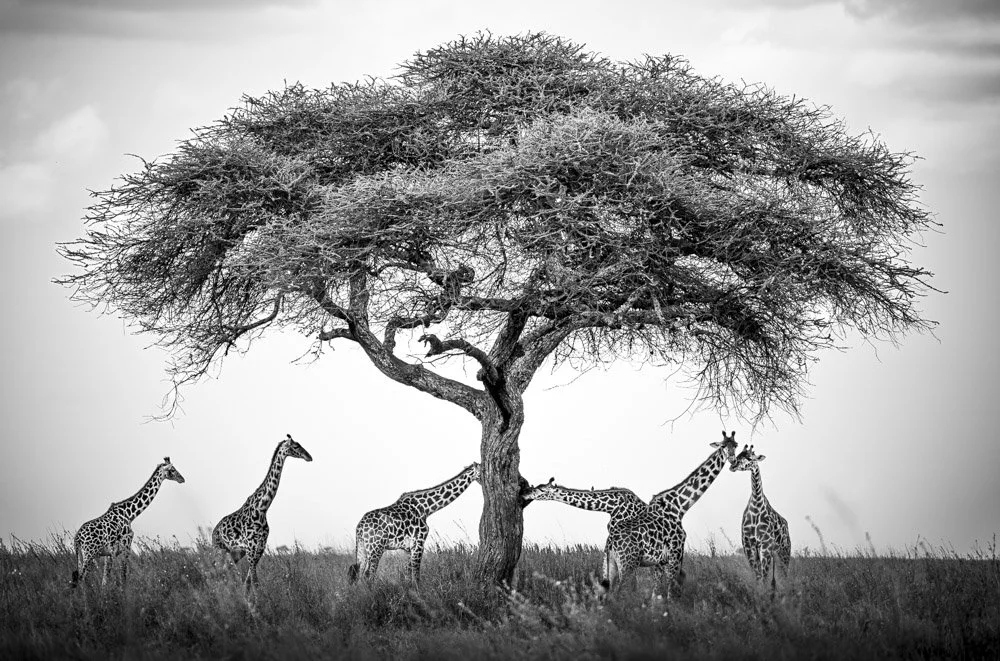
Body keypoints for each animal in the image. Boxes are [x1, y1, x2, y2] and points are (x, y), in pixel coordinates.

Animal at [71, 457, 185, 589]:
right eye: (173, 469)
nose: (182, 479)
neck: (130, 514)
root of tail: (77, 538)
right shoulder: (125, 546)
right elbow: (123, 575)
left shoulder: (109, 554)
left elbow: (105, 581)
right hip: (89, 554)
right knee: (81, 579)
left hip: (81, 555)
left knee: (78, 579)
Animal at [212, 434, 312, 592]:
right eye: (296, 446)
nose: (309, 457)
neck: (262, 508)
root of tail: (213, 532)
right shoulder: (251, 548)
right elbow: (255, 583)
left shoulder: (259, 548)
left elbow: (248, 583)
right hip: (221, 550)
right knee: (219, 573)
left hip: (235, 553)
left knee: (224, 573)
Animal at [348, 462, 481, 584]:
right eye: (481, 470)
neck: (426, 509)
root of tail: (359, 527)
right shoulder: (419, 543)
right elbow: (416, 575)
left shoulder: (408, 548)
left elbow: (408, 574)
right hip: (376, 548)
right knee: (368, 575)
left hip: (362, 547)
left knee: (359, 575)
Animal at [729, 444, 791, 591]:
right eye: (739, 454)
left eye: (750, 457)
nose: (733, 464)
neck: (756, 506)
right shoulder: (749, 545)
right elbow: (757, 576)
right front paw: (758, 592)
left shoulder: (765, 545)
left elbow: (763, 576)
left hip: (784, 553)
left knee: (783, 576)